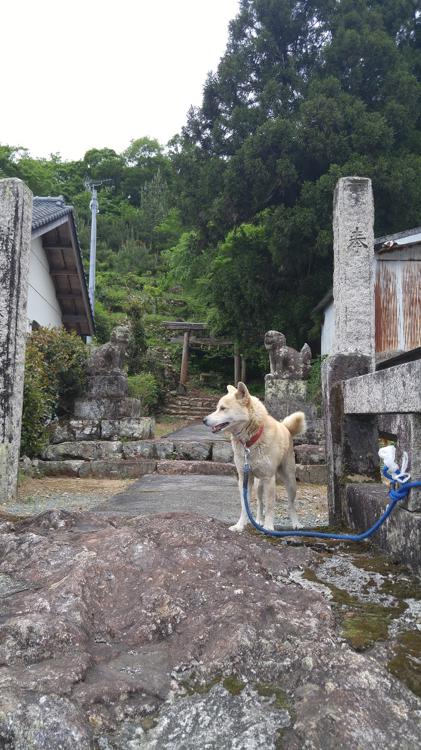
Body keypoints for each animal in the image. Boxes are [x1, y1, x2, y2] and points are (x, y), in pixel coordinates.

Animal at [203, 384, 306, 532]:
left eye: (222, 408)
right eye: (218, 407)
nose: (204, 420)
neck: (250, 441)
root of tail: (286, 428)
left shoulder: (269, 479)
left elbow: (270, 506)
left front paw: (269, 527)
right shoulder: (244, 478)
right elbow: (245, 505)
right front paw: (240, 525)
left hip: (290, 481)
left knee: (291, 504)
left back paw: (296, 523)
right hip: (258, 485)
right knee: (259, 503)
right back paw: (258, 521)